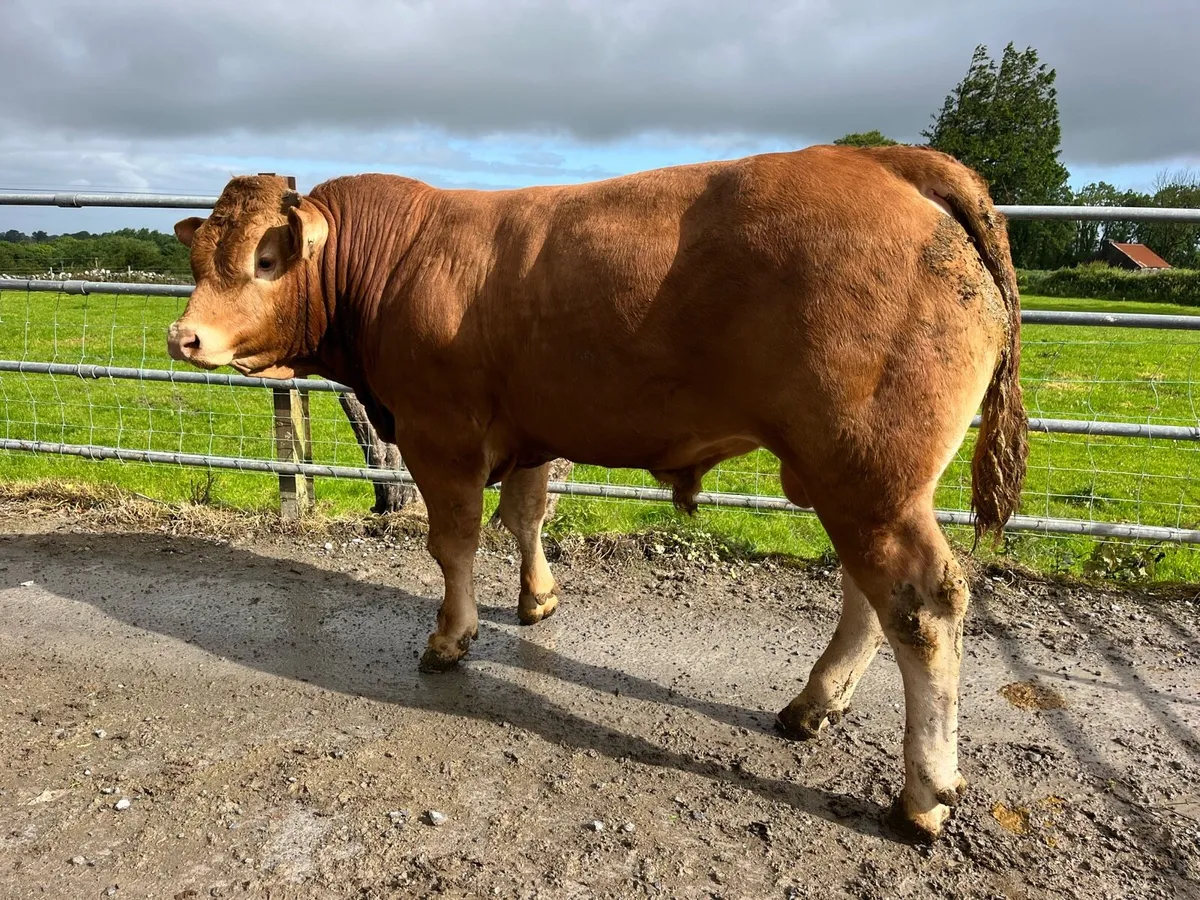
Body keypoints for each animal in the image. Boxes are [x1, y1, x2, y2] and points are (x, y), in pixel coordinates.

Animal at [166, 144, 1028, 842]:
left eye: (267, 258)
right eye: (203, 256)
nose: (184, 337)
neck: (398, 258)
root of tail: (888, 160)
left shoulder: (439, 432)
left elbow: (454, 541)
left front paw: (451, 635)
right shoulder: (530, 427)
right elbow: (524, 516)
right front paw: (537, 599)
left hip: (867, 472)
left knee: (922, 606)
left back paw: (922, 795)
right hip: (855, 477)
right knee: (867, 593)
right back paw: (814, 704)